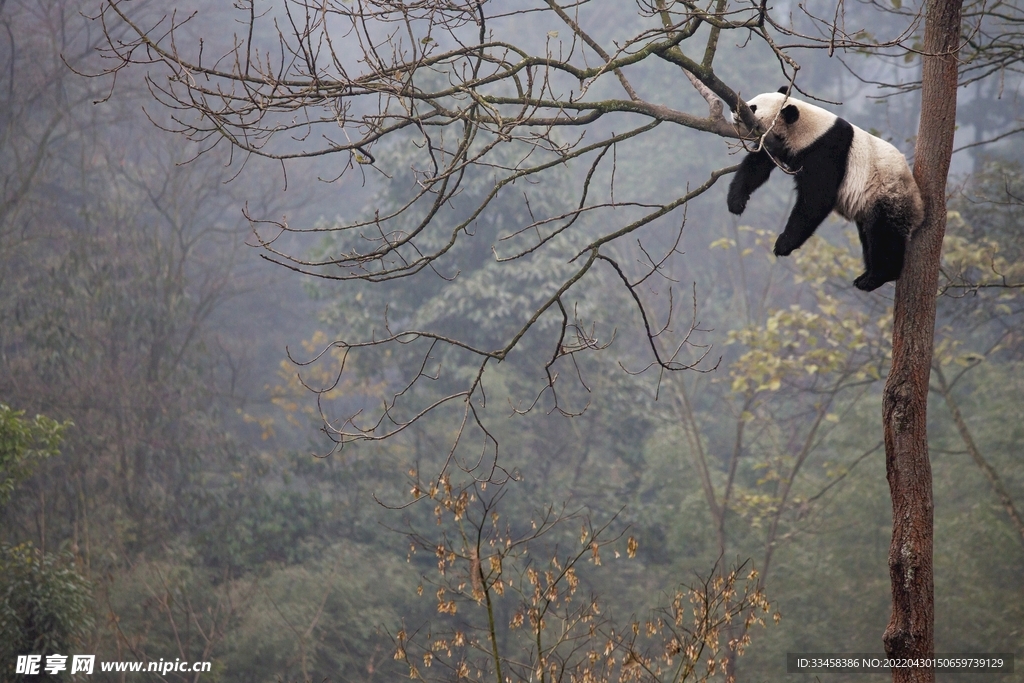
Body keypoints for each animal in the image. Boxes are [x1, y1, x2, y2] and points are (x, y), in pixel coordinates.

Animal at [724, 89, 925, 290]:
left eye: (752, 107)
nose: (733, 109)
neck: (808, 129)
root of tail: (920, 211)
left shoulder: (825, 151)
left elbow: (817, 199)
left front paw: (783, 244)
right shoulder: (776, 143)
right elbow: (757, 165)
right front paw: (736, 202)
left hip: (888, 193)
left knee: (884, 235)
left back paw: (876, 277)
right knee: (868, 236)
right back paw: (866, 276)